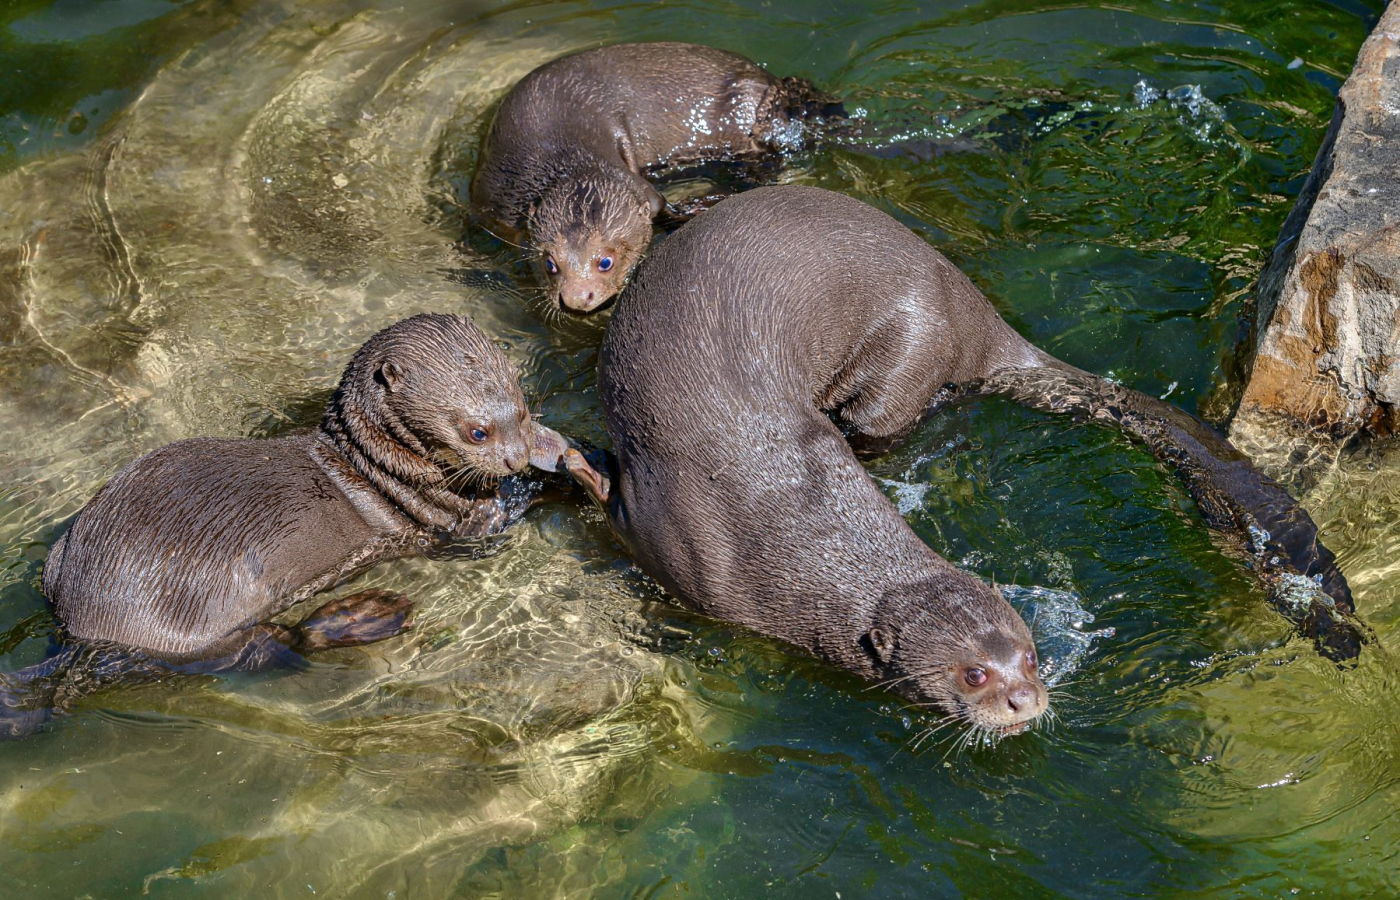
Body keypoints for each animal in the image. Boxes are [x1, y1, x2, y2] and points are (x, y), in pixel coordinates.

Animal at [1, 316, 568, 739]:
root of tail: (80, 619)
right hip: (195, 636)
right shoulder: (446, 521)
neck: (378, 466)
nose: (517, 457)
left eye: (521, 410)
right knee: (278, 645)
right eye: (477, 432)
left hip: (58, 557)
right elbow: (490, 524)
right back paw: (365, 616)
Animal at [562, 186, 1360, 744]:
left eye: (1032, 655)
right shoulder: (671, 532)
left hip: (910, 350)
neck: (784, 533)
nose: (1026, 699)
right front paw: (574, 463)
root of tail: (971, 310)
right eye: (974, 672)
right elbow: (610, 494)